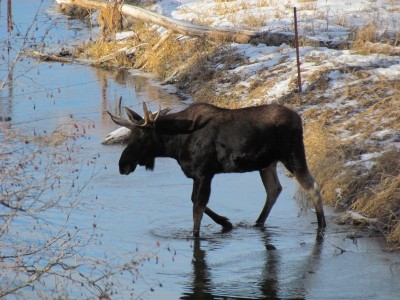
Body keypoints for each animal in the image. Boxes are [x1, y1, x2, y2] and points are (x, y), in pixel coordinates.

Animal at [108, 103, 326, 237]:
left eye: (141, 138)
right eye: (130, 136)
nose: (122, 164)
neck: (175, 146)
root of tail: (299, 119)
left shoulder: (205, 172)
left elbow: (198, 207)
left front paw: (196, 235)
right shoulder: (199, 175)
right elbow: (196, 202)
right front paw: (226, 222)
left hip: (292, 155)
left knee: (313, 186)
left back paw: (321, 225)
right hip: (267, 163)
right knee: (274, 190)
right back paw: (257, 223)